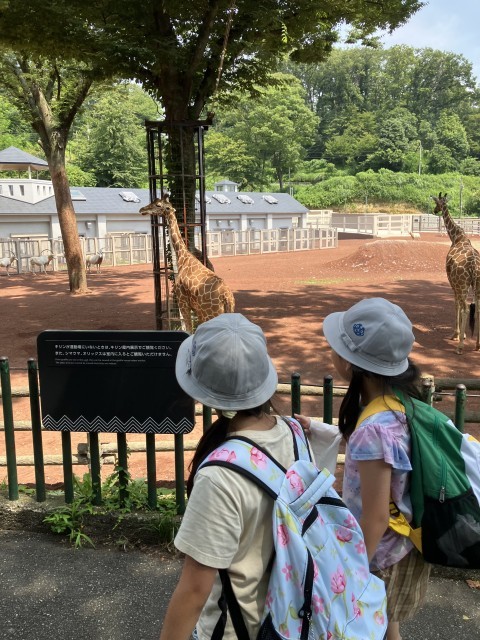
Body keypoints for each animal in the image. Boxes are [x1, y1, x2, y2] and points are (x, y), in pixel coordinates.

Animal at [140, 195, 235, 333]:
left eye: (158, 205)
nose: (142, 209)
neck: (182, 257)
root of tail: (227, 297)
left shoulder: (183, 302)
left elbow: (188, 330)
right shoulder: (197, 310)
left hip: (211, 314)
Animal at [432, 192, 480, 354]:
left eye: (438, 203)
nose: (435, 210)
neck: (456, 236)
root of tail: (473, 266)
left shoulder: (452, 281)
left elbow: (456, 305)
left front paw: (457, 334)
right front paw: (462, 334)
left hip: (462, 284)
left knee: (465, 308)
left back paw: (460, 347)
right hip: (477, 285)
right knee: (478, 308)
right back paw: (477, 345)